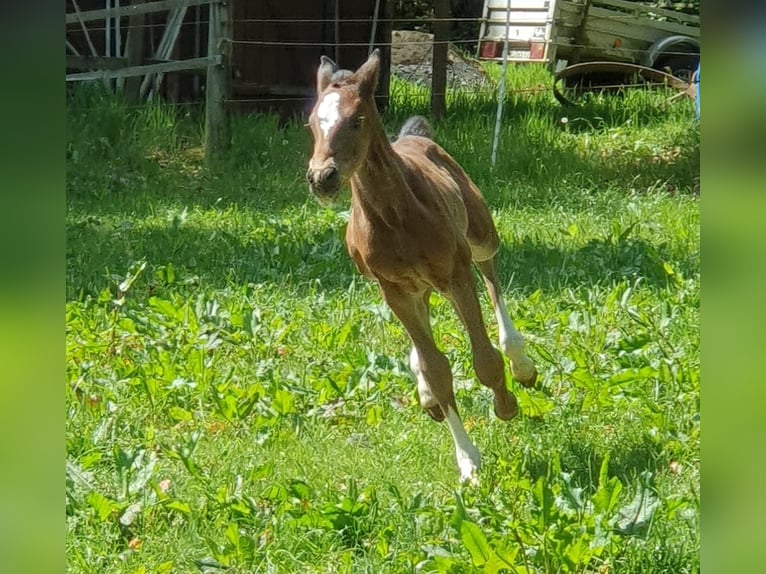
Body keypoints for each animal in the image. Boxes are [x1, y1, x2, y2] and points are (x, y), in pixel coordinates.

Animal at [304, 49, 536, 484]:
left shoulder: (457, 274)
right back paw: (427, 396)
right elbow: (436, 369)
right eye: (312, 123)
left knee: (492, 276)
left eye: (356, 120)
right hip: (416, 287)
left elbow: (484, 359)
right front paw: (468, 461)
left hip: (479, 236)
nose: (321, 177)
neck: (396, 220)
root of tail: (417, 136)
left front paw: (506, 405)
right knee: (424, 335)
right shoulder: (391, 288)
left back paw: (522, 363)